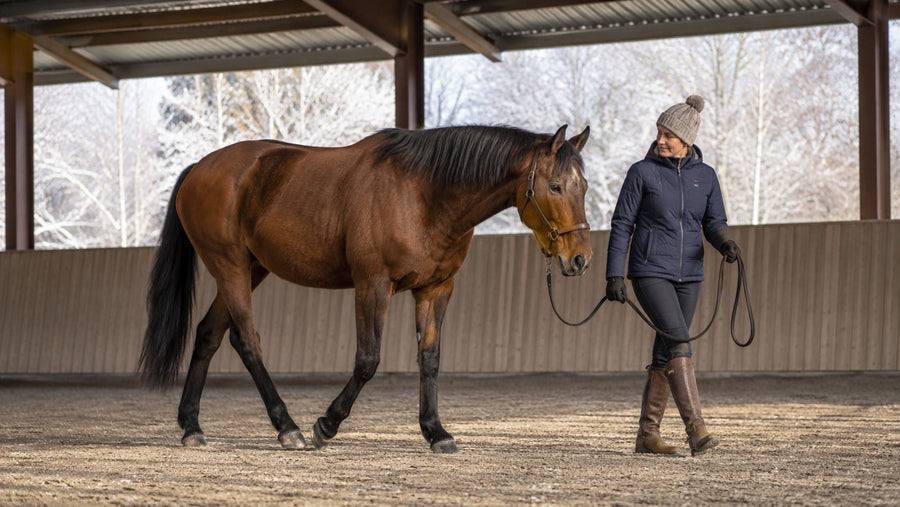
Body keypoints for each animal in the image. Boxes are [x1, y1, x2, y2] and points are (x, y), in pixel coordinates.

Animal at [139, 124, 592, 453]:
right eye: (555, 186)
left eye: (583, 187)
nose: (580, 259)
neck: (423, 193)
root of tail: (200, 167)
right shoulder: (372, 285)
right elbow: (368, 360)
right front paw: (327, 424)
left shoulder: (435, 289)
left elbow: (430, 359)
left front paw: (436, 432)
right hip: (230, 267)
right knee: (246, 341)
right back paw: (288, 428)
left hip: (249, 270)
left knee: (208, 335)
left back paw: (191, 426)